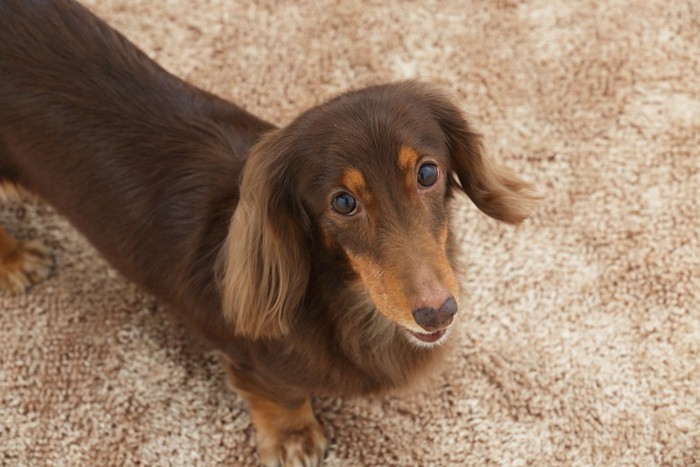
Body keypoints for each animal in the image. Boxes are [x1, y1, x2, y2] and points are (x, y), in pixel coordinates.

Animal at [0, 1, 540, 466]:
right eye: (342, 202)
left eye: (428, 172)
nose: (437, 312)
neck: (345, 297)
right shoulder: (255, 361)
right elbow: (281, 396)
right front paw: (294, 438)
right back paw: (16, 258)